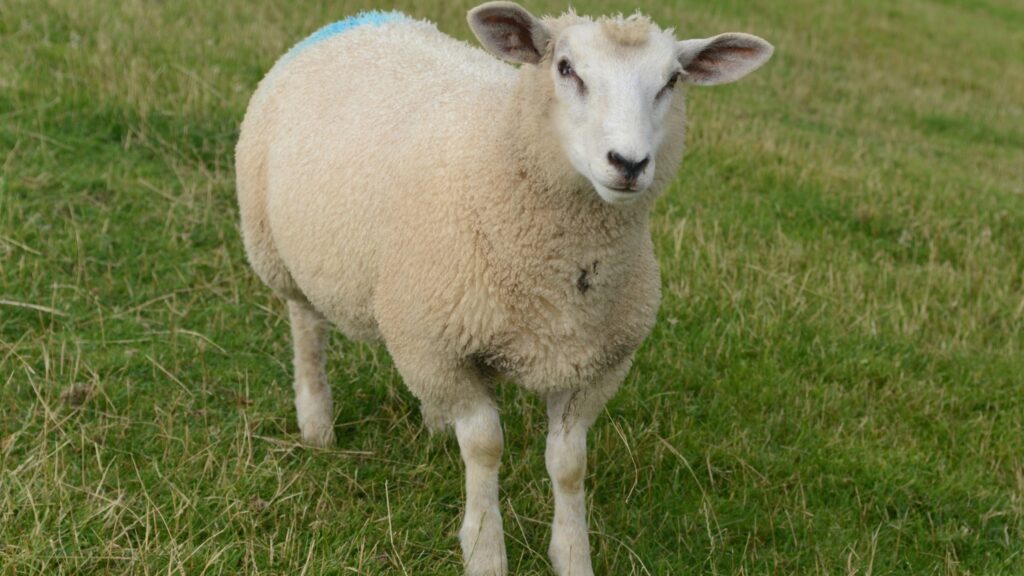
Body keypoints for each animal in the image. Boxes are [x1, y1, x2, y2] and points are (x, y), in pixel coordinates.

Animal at [235, 2, 770, 569]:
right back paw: (317, 423)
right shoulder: (442, 347)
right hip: (280, 255)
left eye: (671, 80)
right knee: (306, 329)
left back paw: (433, 423)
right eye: (565, 68)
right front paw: (485, 552)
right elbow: (485, 448)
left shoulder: (594, 366)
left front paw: (572, 556)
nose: (628, 163)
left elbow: (569, 463)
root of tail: (367, 17)